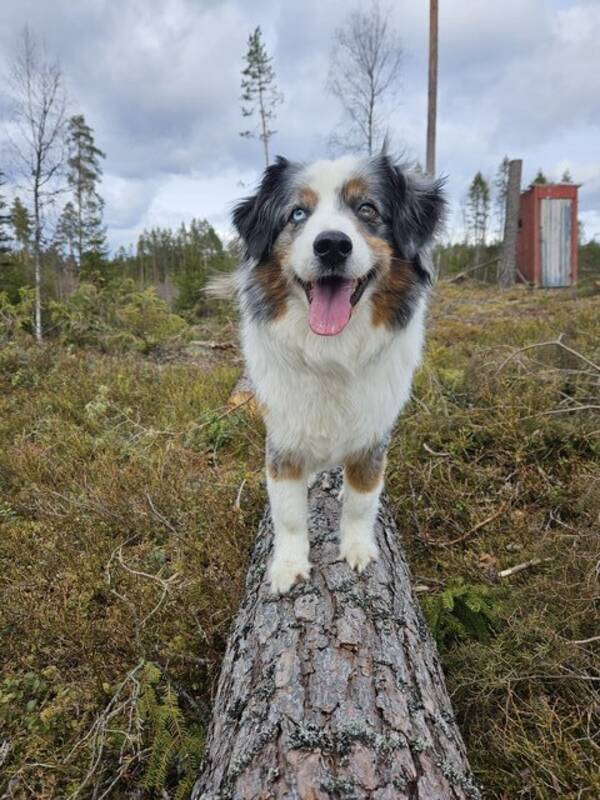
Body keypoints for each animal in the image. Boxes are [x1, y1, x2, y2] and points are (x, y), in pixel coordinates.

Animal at [225, 155, 446, 592]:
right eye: (297, 213)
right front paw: (289, 565)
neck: (331, 350)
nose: (331, 245)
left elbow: (363, 499)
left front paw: (357, 548)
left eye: (367, 209)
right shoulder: (283, 438)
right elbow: (289, 514)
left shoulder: (373, 436)